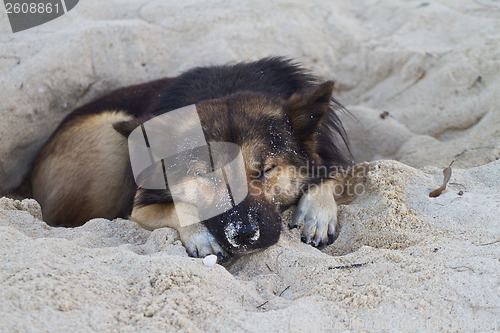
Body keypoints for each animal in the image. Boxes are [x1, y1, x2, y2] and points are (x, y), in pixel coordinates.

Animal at [32, 57, 352, 260]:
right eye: (207, 175)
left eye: (265, 171)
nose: (243, 235)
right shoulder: (137, 207)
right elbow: (177, 206)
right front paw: (200, 235)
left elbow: (332, 173)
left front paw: (316, 213)